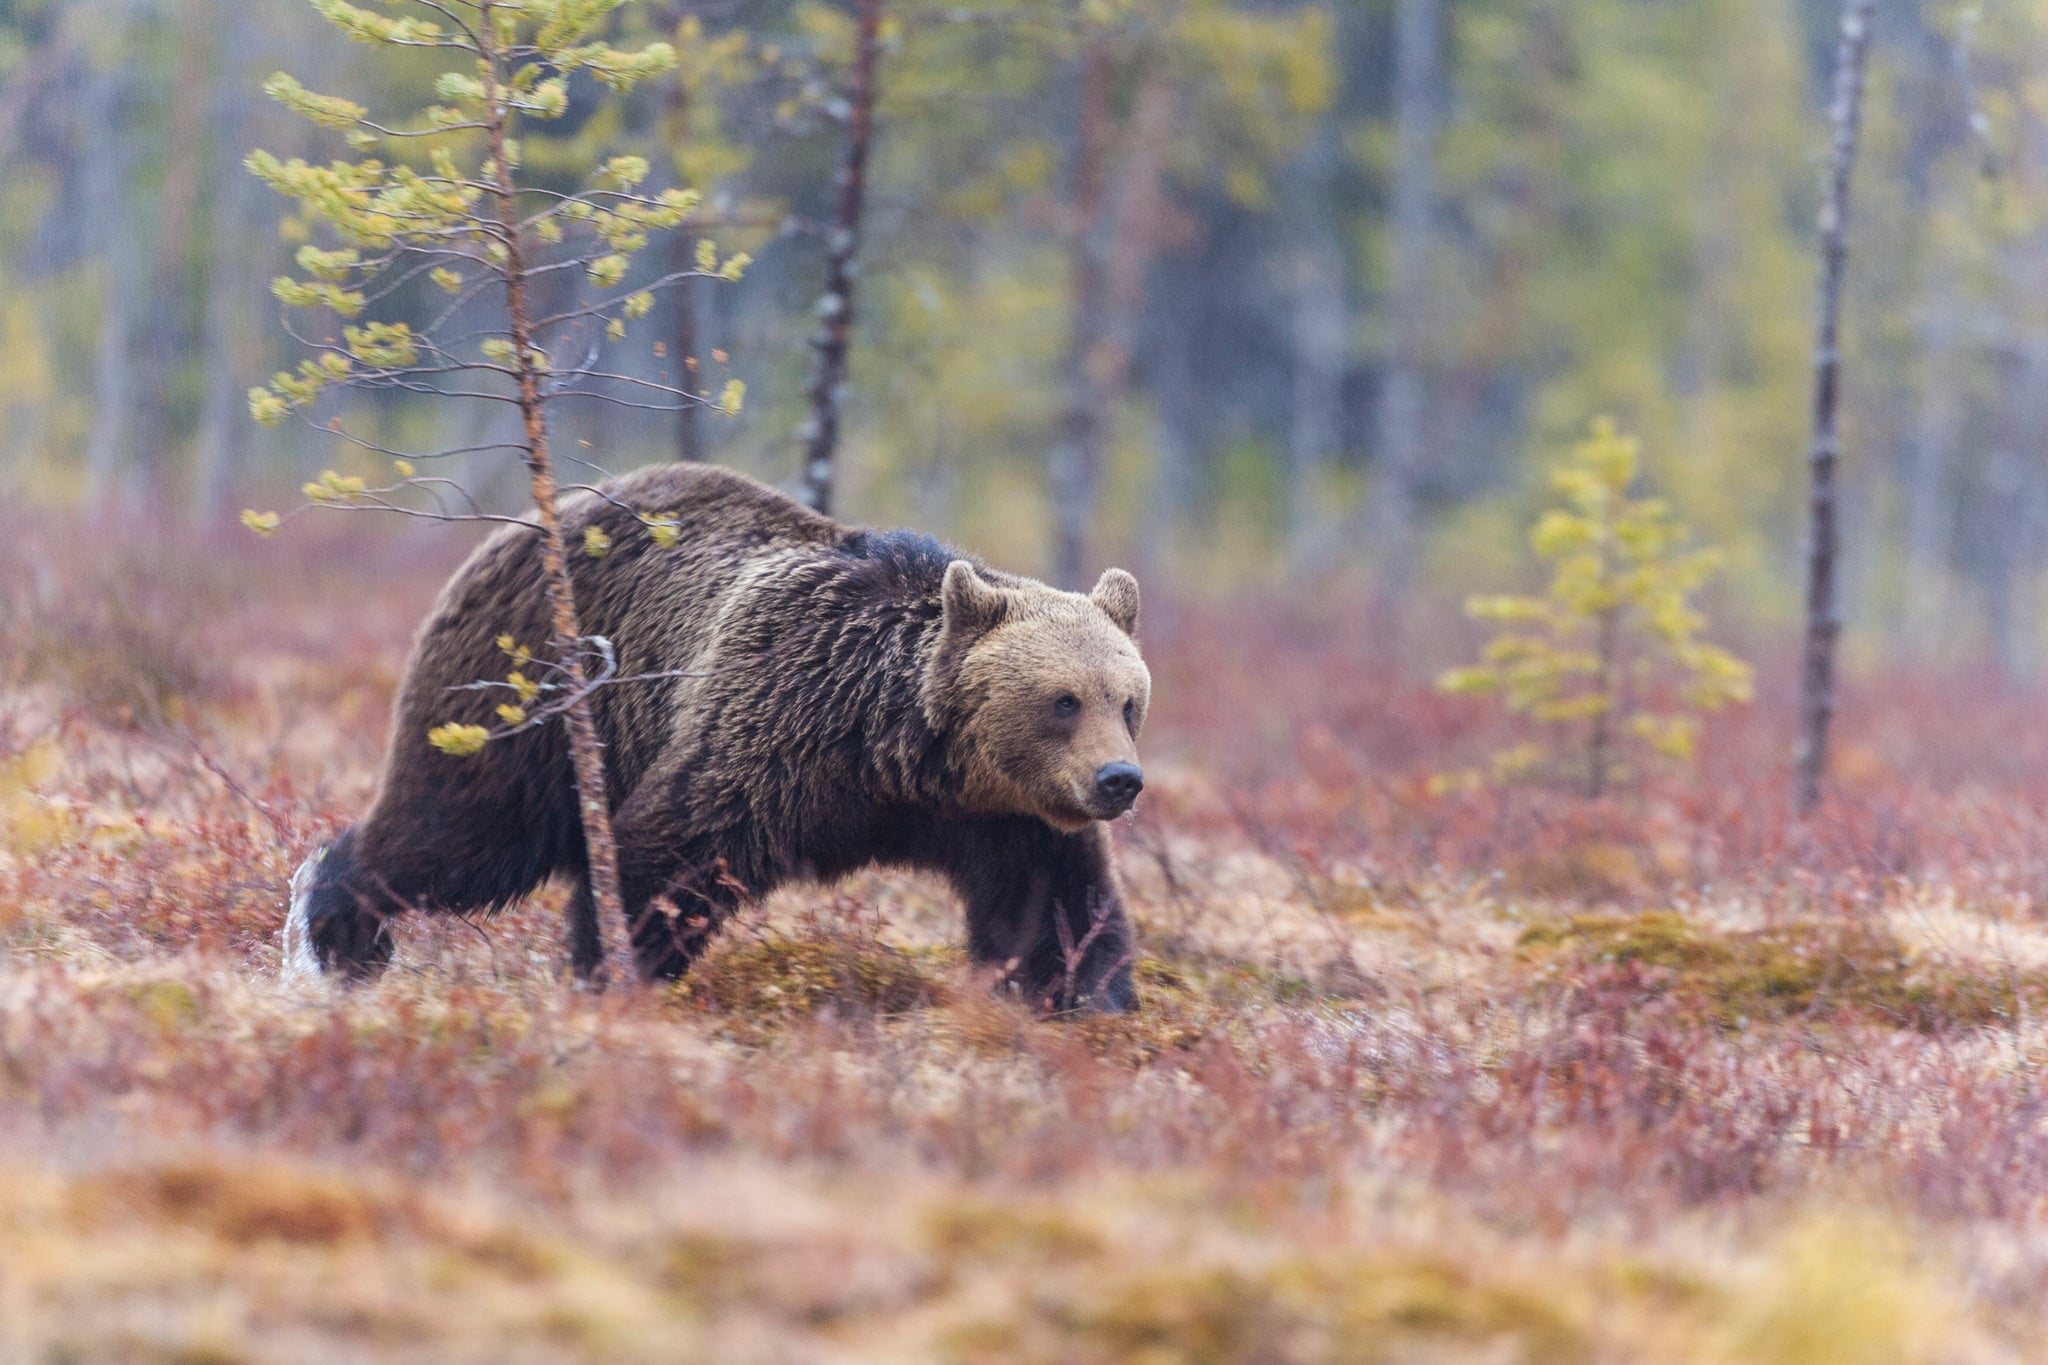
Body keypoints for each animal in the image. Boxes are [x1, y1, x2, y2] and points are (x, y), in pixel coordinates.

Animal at [286, 464, 1155, 1010]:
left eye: (1129, 700)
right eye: (1064, 700)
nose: (1119, 779)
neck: (897, 754)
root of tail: (527, 520)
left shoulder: (1004, 816)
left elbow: (1056, 908)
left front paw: (1091, 1003)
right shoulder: (778, 728)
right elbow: (666, 857)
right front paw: (616, 973)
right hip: (525, 695)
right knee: (460, 831)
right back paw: (338, 927)